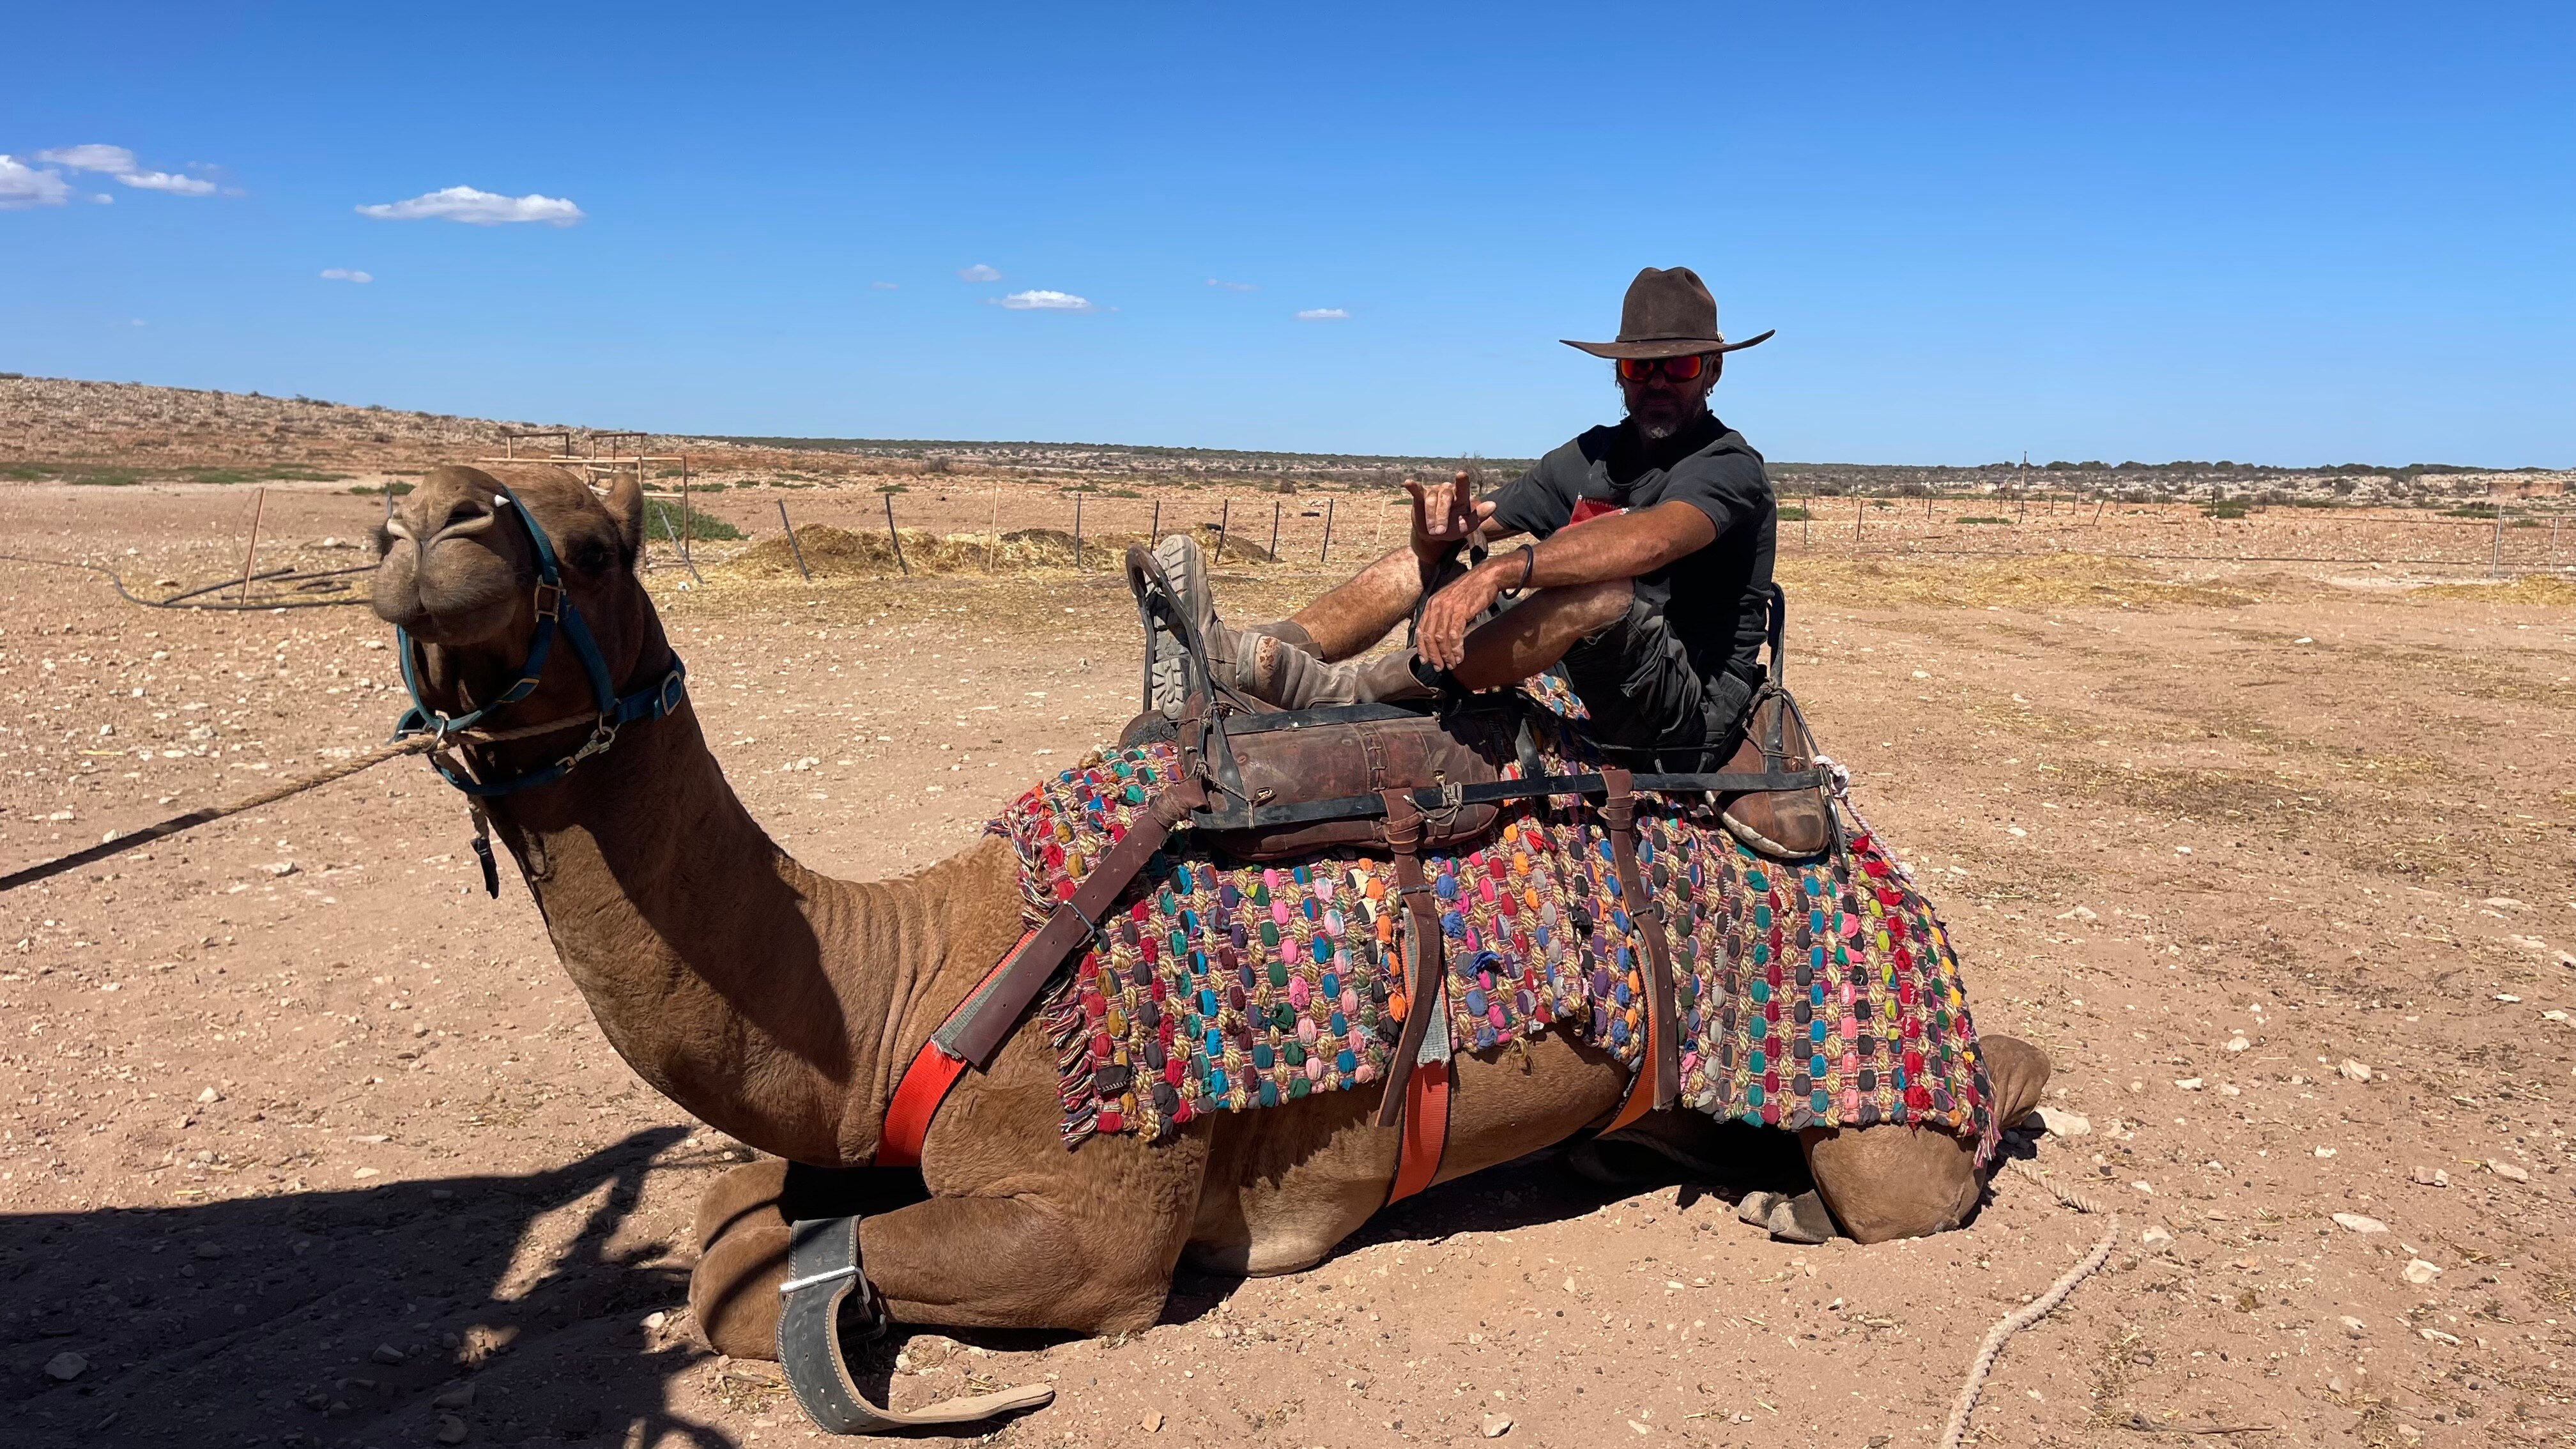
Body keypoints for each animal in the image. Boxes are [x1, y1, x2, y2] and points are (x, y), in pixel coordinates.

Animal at [370, 463, 2049, 1363]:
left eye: (596, 544)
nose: (426, 524)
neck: (920, 971)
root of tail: (1824, 796)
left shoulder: (1096, 1238)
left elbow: (765, 1283)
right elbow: (724, 1223)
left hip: (1870, 1082)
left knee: (1933, 1157)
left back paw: (1806, 1192)